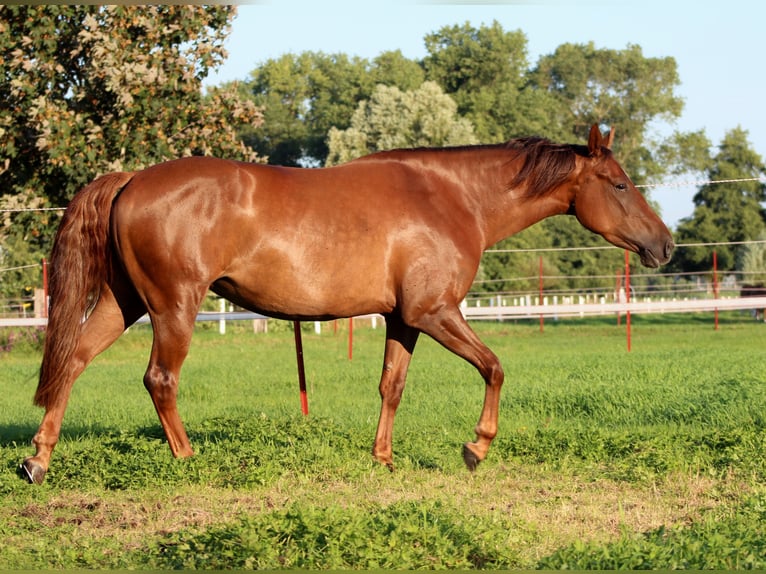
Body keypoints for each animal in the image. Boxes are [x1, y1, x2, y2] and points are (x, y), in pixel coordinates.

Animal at [20, 125, 674, 484]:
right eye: (619, 184)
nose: (663, 244)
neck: (452, 198)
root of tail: (131, 179)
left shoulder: (404, 319)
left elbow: (391, 386)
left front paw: (383, 460)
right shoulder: (437, 314)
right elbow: (493, 367)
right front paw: (475, 448)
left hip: (125, 302)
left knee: (73, 361)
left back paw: (38, 460)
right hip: (173, 307)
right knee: (160, 379)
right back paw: (186, 458)